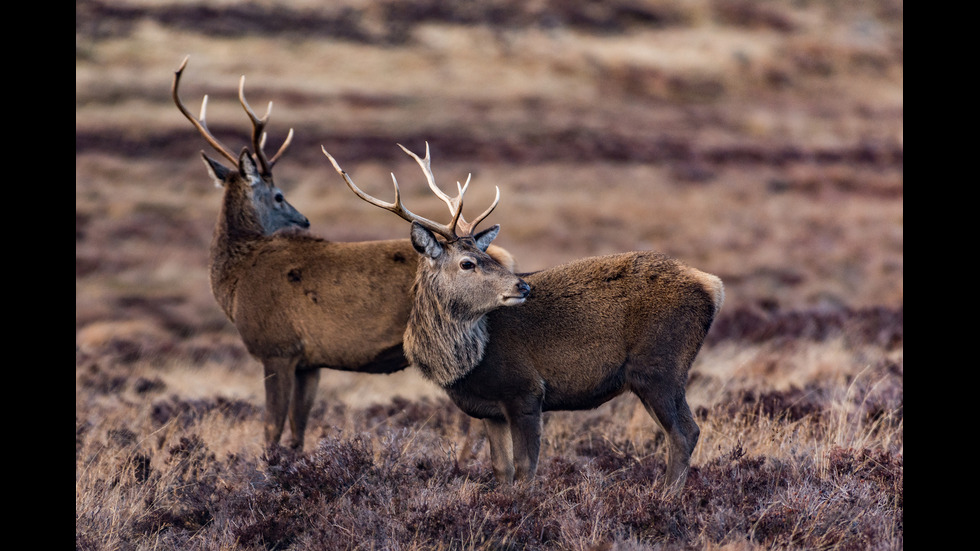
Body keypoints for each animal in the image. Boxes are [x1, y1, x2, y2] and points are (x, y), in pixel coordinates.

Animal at [174, 58, 520, 450]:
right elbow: (297, 430)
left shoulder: (276, 348)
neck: (236, 280)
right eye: (279, 196)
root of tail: (506, 257)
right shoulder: (309, 361)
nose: (304, 220)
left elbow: (271, 431)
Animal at [326, 144, 724, 494]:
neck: (465, 366)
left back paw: (666, 499)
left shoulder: (526, 390)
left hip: (660, 366)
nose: (523, 285)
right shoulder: (489, 410)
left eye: (490, 258)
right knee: (684, 431)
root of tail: (712, 286)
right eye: (467, 263)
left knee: (683, 433)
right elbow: (500, 469)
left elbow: (526, 467)